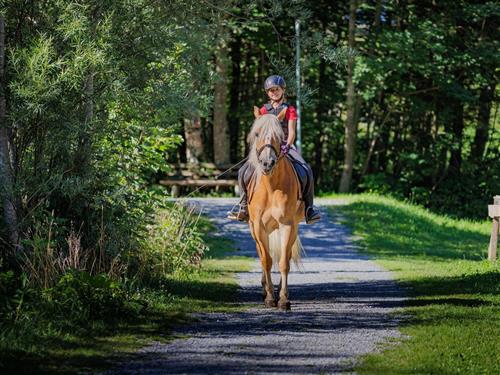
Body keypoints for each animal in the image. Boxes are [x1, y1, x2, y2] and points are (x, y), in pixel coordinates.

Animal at [247, 108, 304, 312]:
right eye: (257, 134)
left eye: (280, 136)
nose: (267, 163)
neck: (271, 186)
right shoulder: (258, 226)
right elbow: (266, 260)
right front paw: (270, 297)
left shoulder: (287, 225)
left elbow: (283, 262)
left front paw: (283, 299)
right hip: (253, 228)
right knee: (261, 254)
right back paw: (265, 289)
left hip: (293, 227)